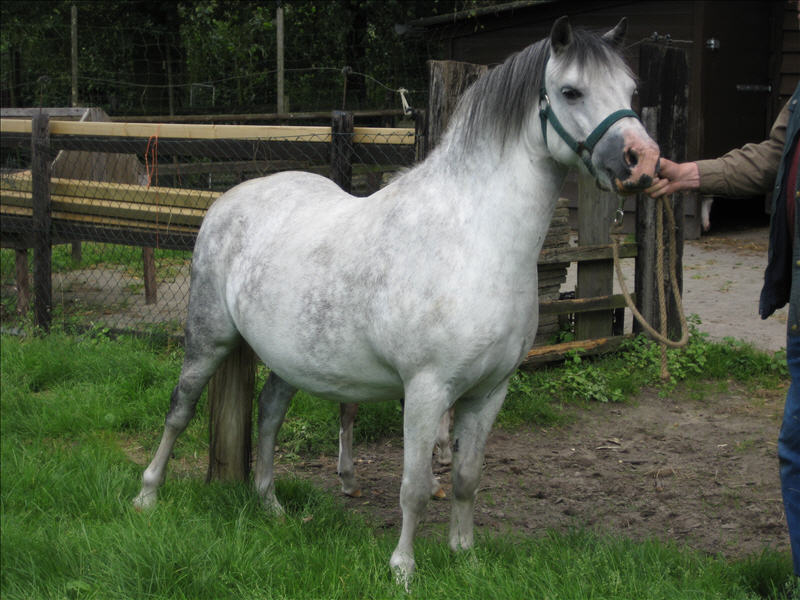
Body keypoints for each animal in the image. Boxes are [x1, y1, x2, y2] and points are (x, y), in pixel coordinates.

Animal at [134, 17, 660, 584]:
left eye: (630, 90)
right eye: (571, 91)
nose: (643, 162)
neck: (476, 240)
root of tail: (227, 200)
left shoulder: (489, 392)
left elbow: (467, 477)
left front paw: (464, 555)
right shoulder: (427, 390)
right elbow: (414, 488)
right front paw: (403, 568)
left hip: (290, 356)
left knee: (269, 412)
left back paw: (270, 504)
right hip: (208, 337)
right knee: (180, 409)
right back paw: (147, 495)